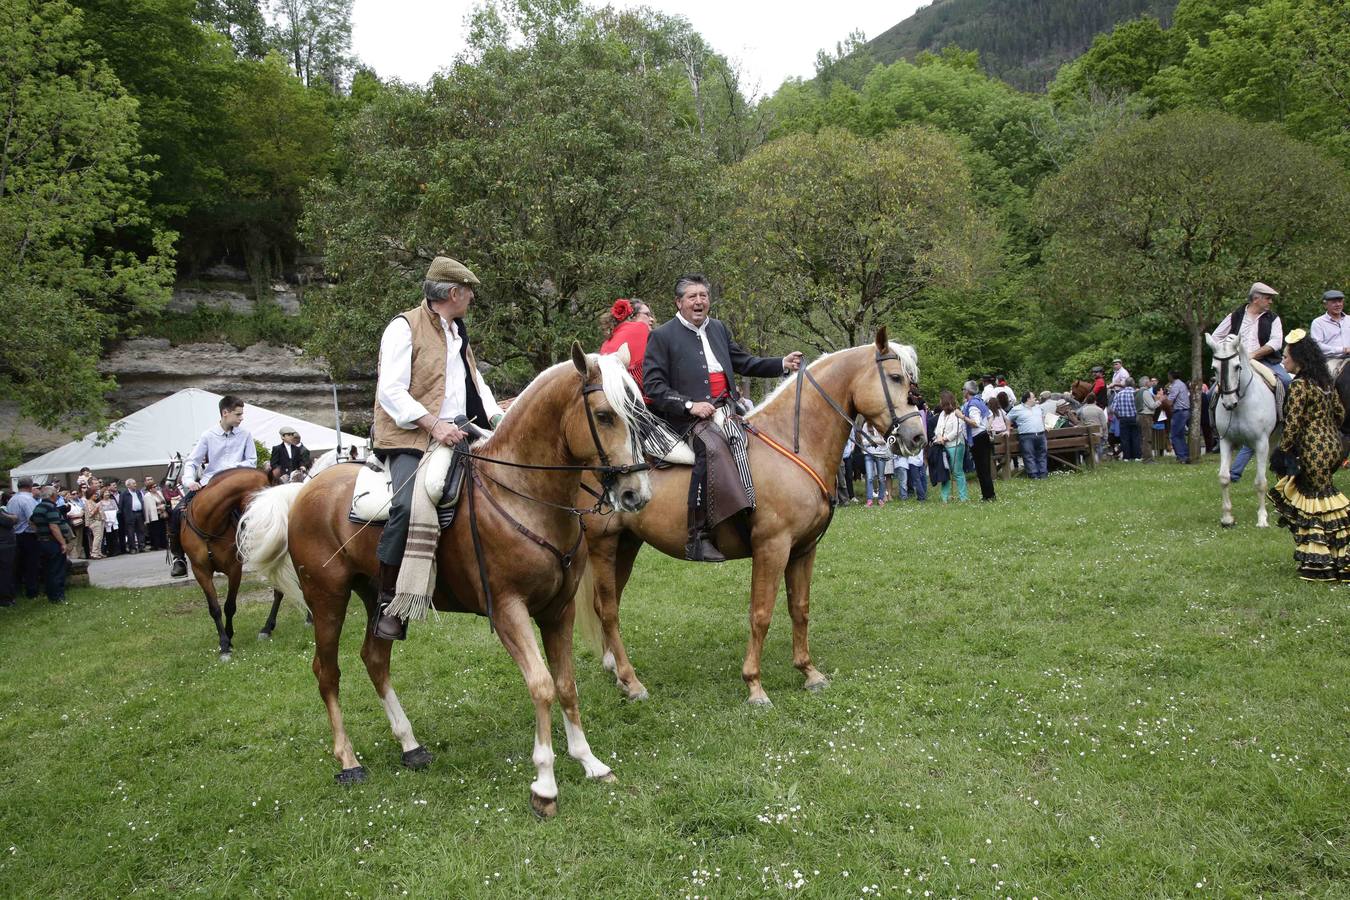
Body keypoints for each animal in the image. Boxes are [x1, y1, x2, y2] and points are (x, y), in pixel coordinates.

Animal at [174, 469, 292, 658]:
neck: (209, 525)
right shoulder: (201, 571)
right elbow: (214, 608)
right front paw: (224, 643)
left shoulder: (234, 569)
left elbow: (229, 606)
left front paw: (228, 638)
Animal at [241, 345, 653, 814]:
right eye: (604, 415)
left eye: (639, 412)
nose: (636, 494)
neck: (521, 493)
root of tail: (304, 489)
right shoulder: (509, 611)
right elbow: (542, 685)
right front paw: (545, 785)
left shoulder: (557, 611)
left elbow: (566, 685)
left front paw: (589, 761)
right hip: (327, 599)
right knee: (327, 672)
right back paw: (348, 760)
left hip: (381, 598)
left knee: (375, 659)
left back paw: (410, 745)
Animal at [575, 327, 923, 707]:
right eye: (895, 377)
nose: (917, 436)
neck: (794, 443)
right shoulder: (772, 548)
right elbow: (761, 613)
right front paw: (754, 685)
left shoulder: (803, 549)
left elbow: (799, 608)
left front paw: (809, 672)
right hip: (603, 544)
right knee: (607, 608)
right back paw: (629, 679)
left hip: (627, 544)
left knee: (609, 605)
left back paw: (616, 671)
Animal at [1209, 330, 1279, 528]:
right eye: (1214, 368)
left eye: (1237, 366)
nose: (1228, 403)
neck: (1241, 405)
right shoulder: (1226, 441)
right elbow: (1224, 478)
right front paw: (1227, 518)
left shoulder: (1261, 443)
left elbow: (1260, 482)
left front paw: (1262, 519)